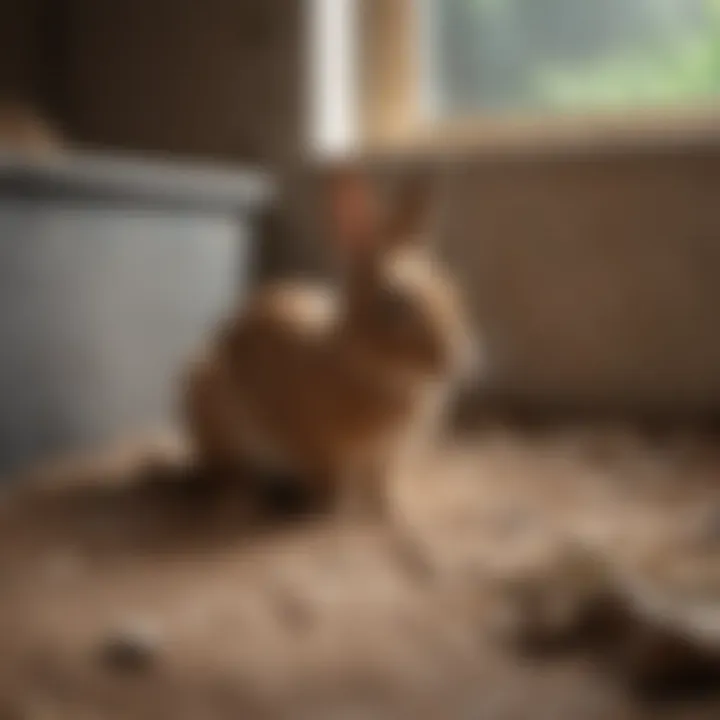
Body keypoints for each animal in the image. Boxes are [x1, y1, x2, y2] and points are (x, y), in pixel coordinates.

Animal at [183, 167, 480, 516]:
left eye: (451, 288)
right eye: (394, 304)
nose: (457, 359)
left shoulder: (387, 459)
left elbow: (384, 487)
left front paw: (391, 510)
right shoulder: (314, 445)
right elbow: (328, 482)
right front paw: (338, 512)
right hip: (213, 411)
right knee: (225, 472)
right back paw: (242, 501)